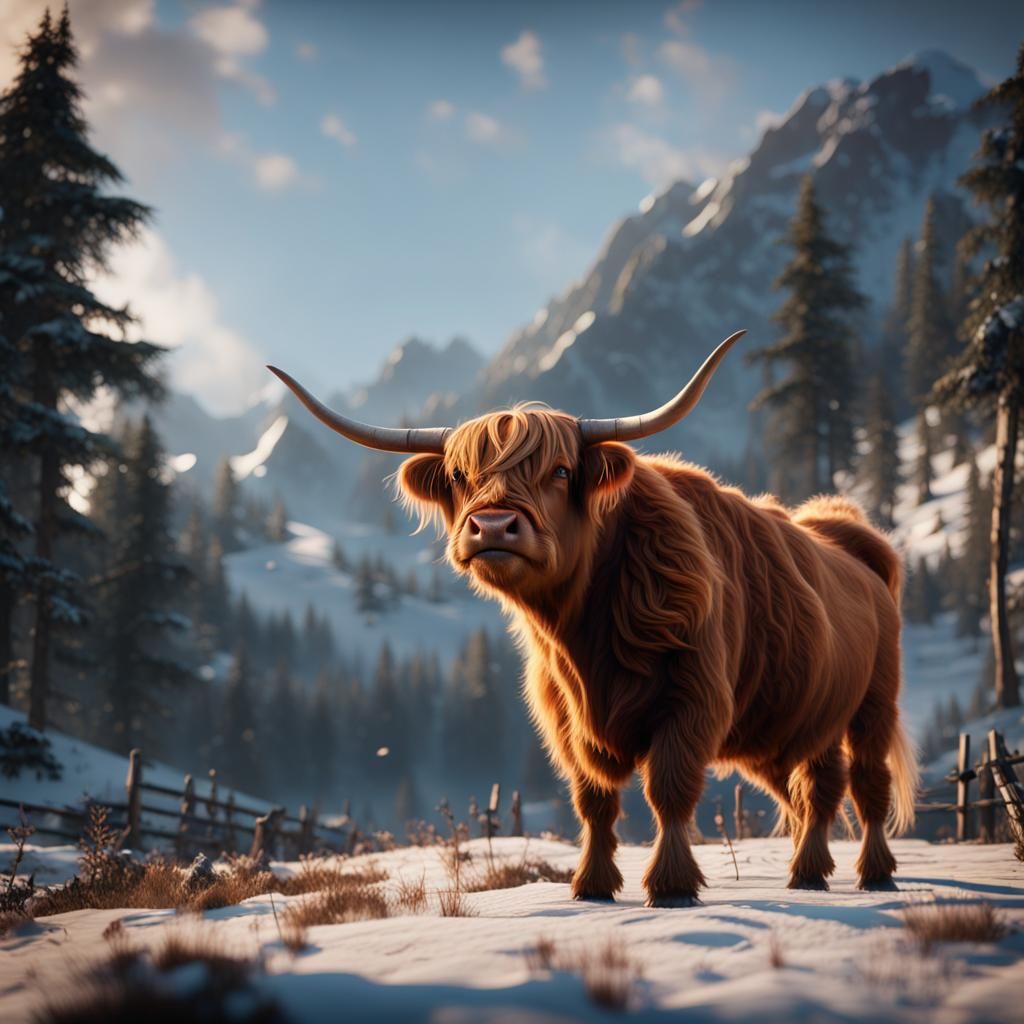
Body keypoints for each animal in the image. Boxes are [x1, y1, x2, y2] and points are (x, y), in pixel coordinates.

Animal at [269, 330, 918, 906]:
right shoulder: (567, 719)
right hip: (793, 721)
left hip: (873, 706)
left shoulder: (691, 700)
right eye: (458, 476)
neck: (584, 631)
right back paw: (808, 871)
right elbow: (595, 801)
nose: (493, 527)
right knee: (813, 789)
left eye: (560, 471)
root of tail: (849, 537)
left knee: (865, 785)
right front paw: (593, 884)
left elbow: (669, 790)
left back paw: (873, 873)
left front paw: (672, 886)